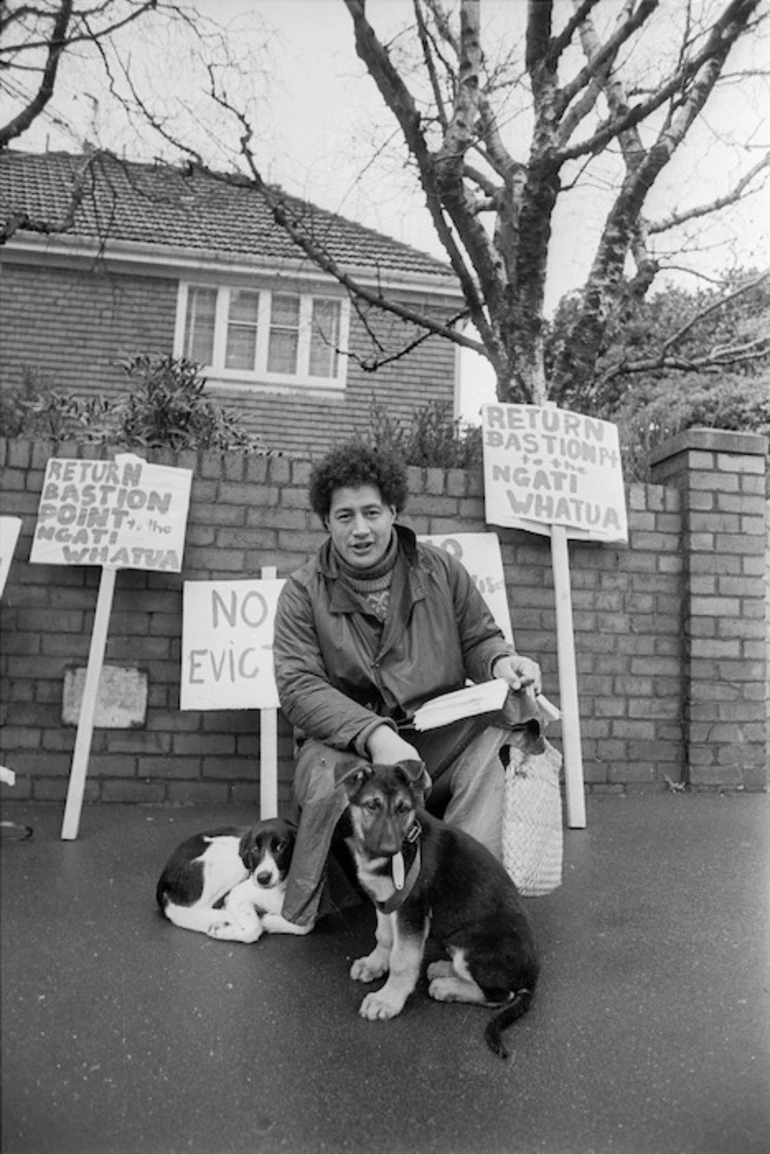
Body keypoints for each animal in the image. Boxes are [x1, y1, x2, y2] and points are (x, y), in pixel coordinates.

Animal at [157, 817, 297, 941]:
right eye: (254, 849)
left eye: (281, 846)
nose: (262, 879)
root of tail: (163, 884)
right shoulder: (238, 893)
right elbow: (254, 928)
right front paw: (220, 930)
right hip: (235, 861)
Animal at [344, 761, 542, 1057]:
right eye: (372, 805)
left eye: (403, 808)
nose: (390, 848)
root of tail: (531, 980)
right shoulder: (386, 901)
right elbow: (384, 937)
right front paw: (374, 964)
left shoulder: (412, 910)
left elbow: (402, 959)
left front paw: (388, 999)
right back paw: (443, 970)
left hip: (473, 946)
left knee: (499, 994)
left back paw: (446, 987)